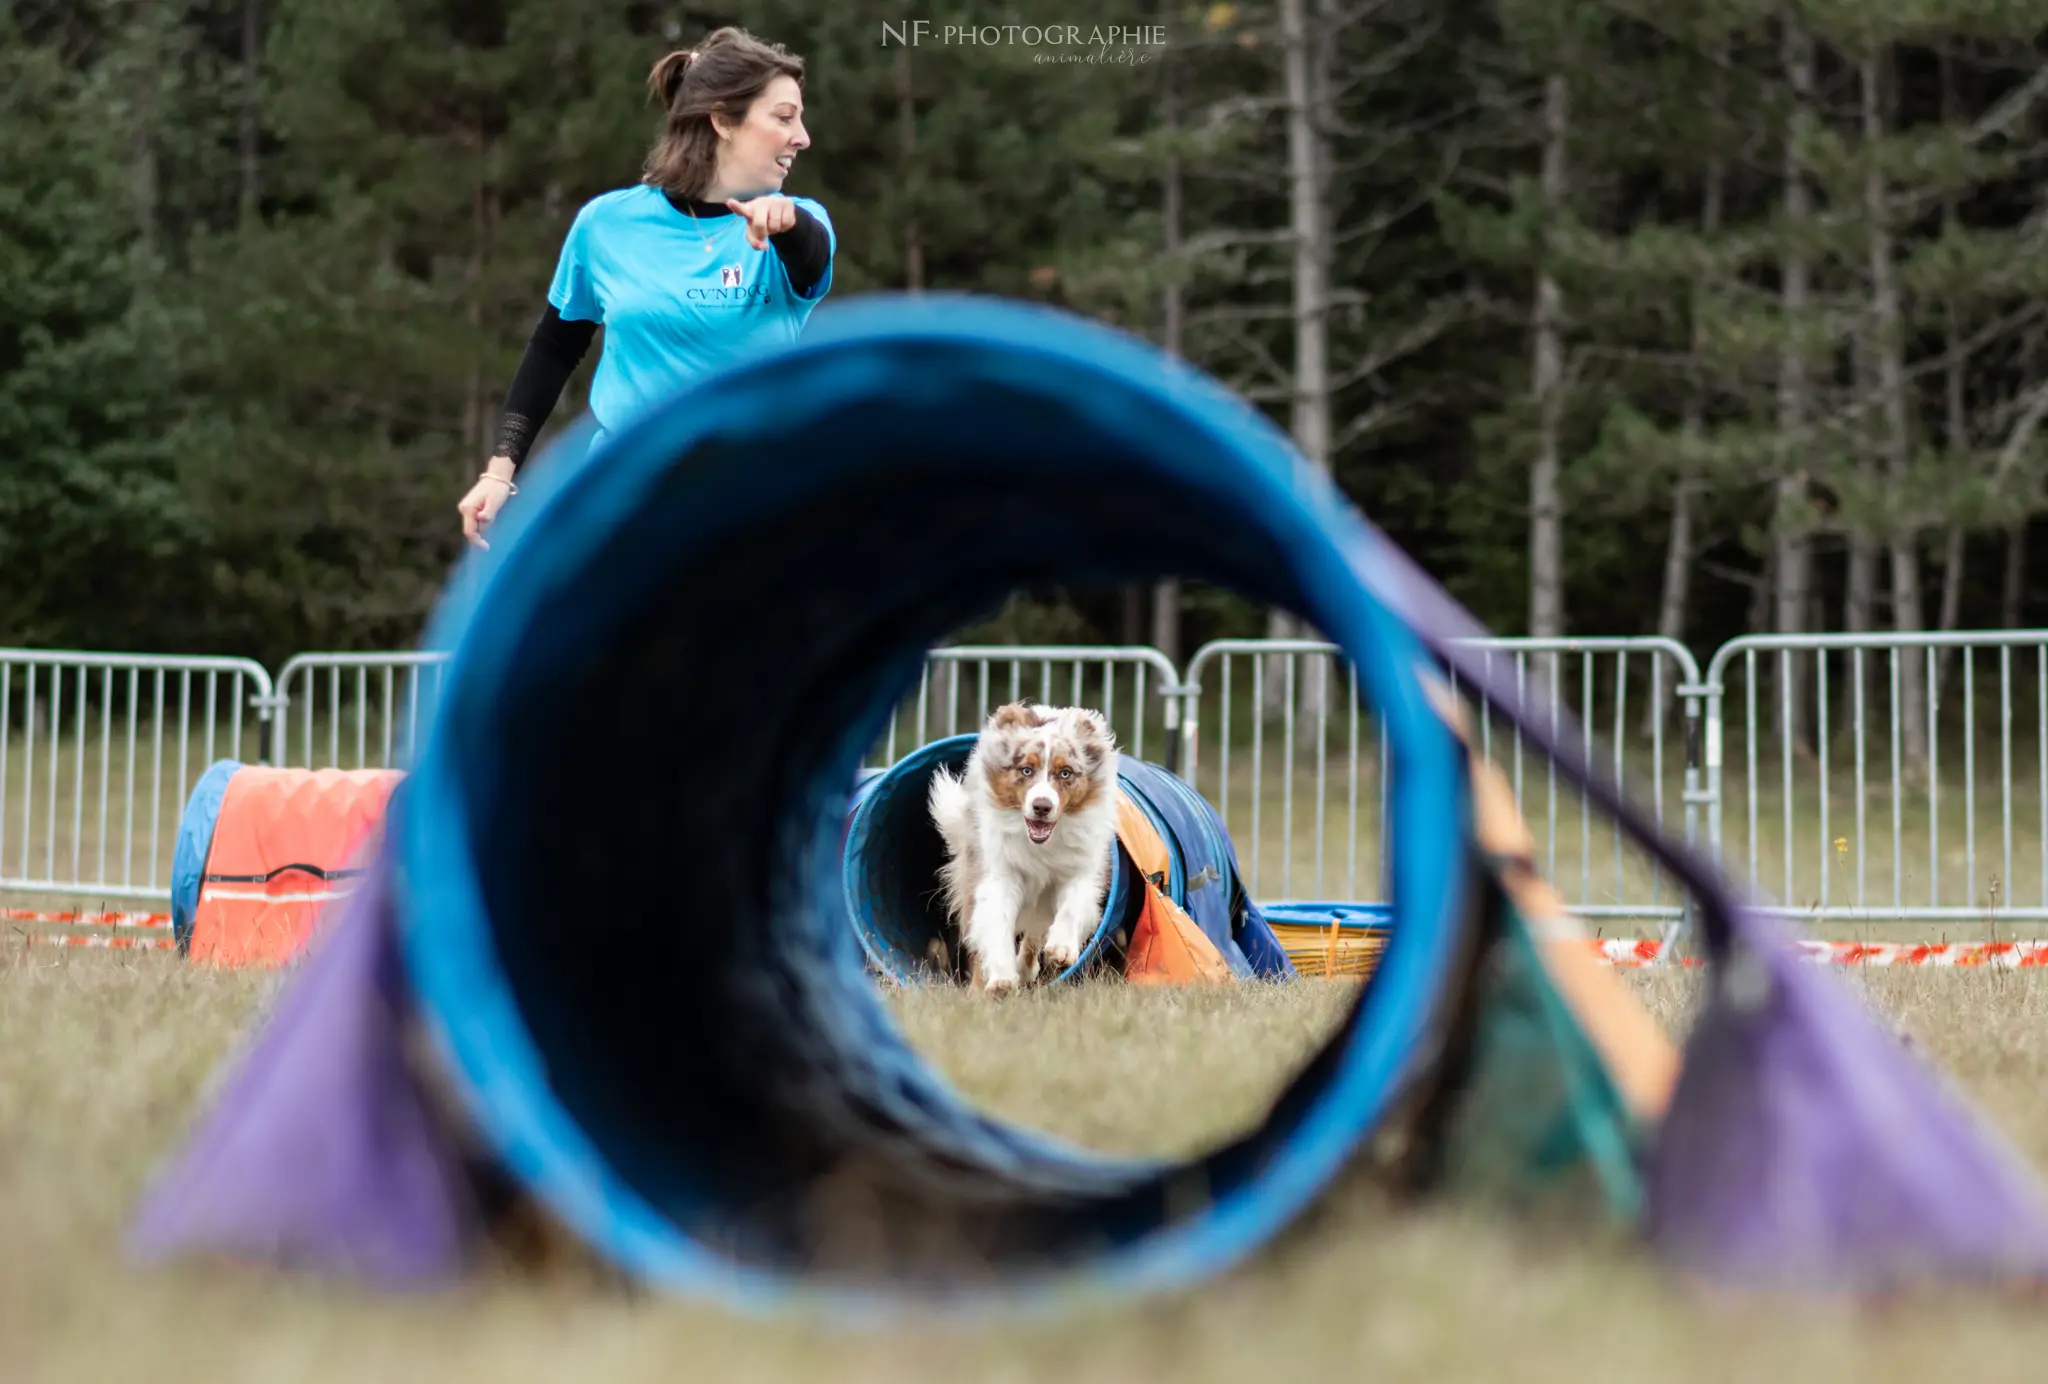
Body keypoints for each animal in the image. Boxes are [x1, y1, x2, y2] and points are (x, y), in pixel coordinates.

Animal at [929, 708, 1122, 990]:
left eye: (1065, 773)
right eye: (1026, 770)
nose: (1042, 806)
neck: (1041, 844)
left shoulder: (1081, 868)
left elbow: (1072, 906)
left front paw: (1061, 948)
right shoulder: (1000, 872)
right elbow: (997, 921)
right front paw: (1001, 979)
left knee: (1034, 932)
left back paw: (1027, 968)